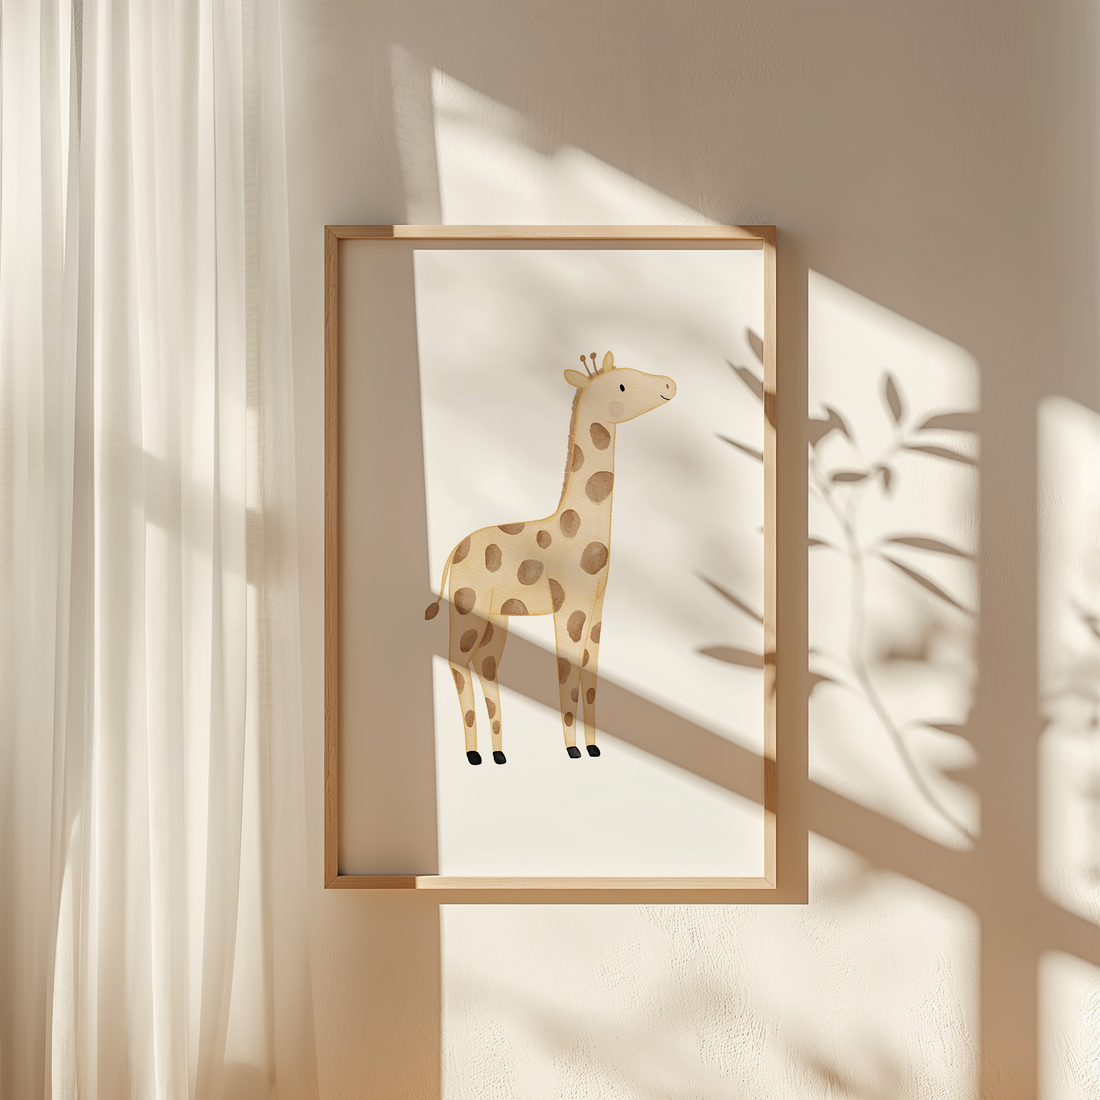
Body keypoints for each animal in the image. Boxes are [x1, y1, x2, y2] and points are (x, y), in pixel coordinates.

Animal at [424, 351, 677, 764]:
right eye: (623, 384)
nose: (670, 384)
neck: (578, 528)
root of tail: (453, 552)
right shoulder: (568, 606)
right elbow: (567, 675)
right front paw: (573, 749)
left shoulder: (597, 607)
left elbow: (591, 678)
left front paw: (593, 747)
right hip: (466, 605)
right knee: (458, 663)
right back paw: (473, 754)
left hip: (496, 615)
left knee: (486, 665)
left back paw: (498, 754)